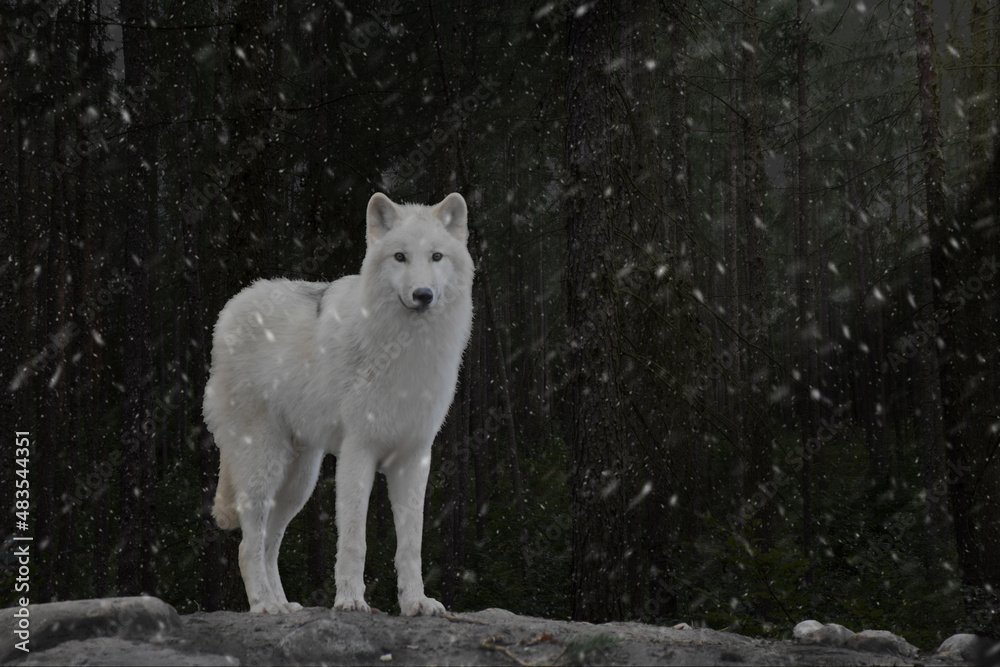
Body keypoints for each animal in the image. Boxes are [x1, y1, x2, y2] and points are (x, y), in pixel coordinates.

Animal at [203, 192, 474, 616]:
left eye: (436, 257)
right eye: (399, 257)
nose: (423, 295)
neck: (406, 348)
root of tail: (232, 307)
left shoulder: (414, 458)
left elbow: (411, 544)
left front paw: (416, 602)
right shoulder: (357, 451)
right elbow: (353, 539)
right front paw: (350, 601)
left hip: (299, 481)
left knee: (269, 545)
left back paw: (284, 605)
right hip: (264, 466)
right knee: (248, 546)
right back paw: (264, 606)